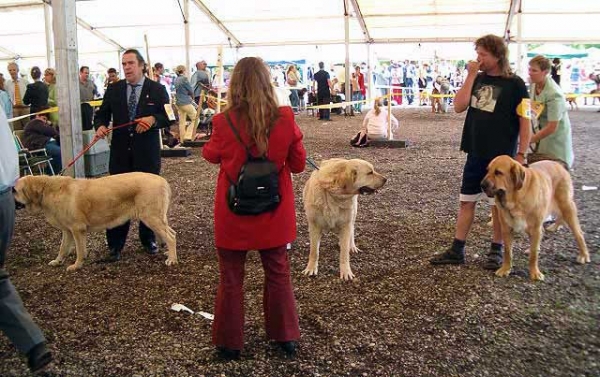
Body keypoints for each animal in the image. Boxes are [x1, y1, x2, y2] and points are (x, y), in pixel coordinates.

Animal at [12, 173, 177, 270]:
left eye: (14, 190)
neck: (47, 190)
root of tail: (162, 180)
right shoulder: (67, 231)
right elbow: (63, 248)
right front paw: (57, 261)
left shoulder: (77, 228)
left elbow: (79, 250)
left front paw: (76, 265)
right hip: (156, 218)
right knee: (172, 233)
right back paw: (169, 253)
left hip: (151, 217)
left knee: (171, 237)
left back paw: (172, 259)